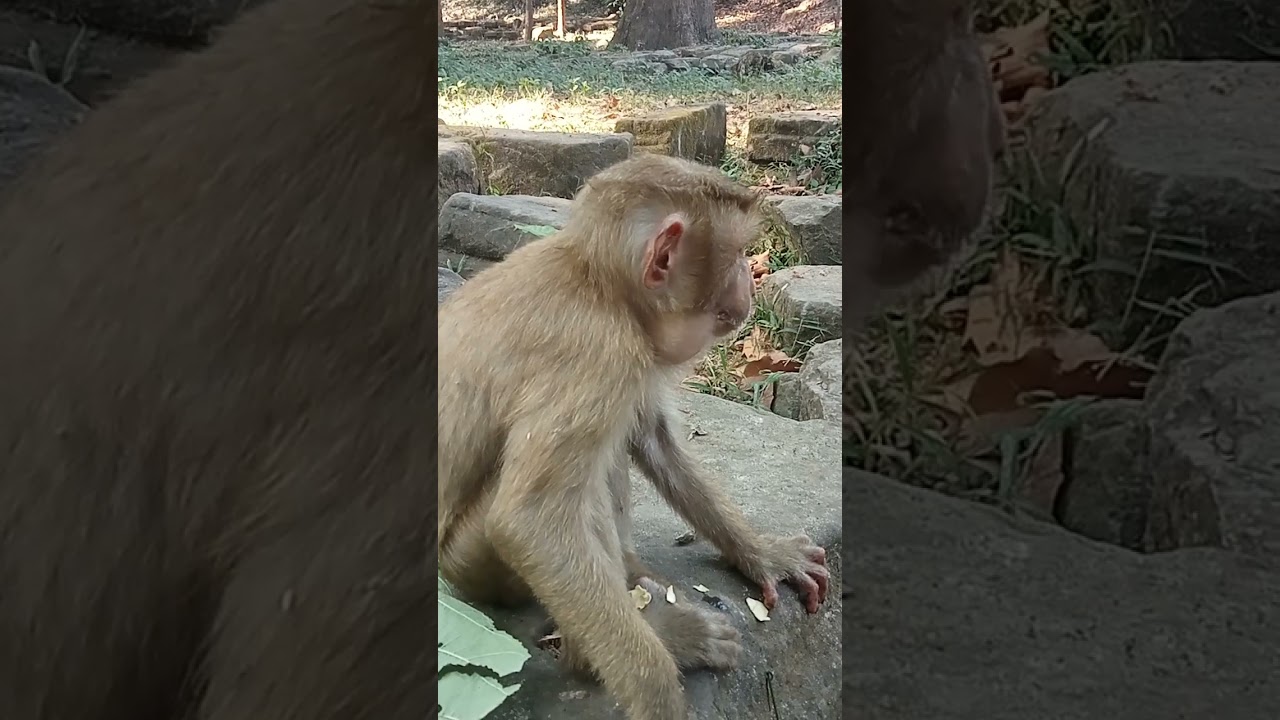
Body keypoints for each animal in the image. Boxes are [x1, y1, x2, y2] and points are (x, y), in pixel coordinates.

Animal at [437, 154, 831, 720]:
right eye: (737, 254)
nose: (751, 282)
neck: (597, 284)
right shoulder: (602, 353)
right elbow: (529, 522)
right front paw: (657, 694)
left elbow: (653, 438)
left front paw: (764, 553)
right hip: (471, 561)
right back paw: (631, 643)